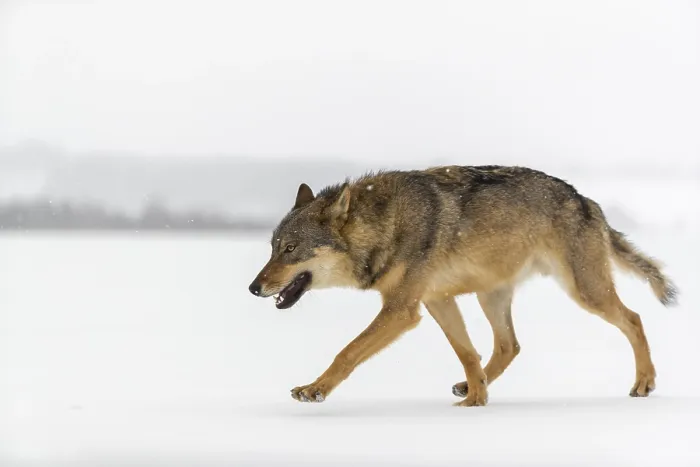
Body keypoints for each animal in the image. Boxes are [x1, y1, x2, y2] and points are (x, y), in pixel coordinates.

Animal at [248, 165, 677, 406]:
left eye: (290, 249)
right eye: (272, 248)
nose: (253, 287)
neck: (386, 226)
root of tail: (587, 200)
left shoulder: (401, 311)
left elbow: (346, 352)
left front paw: (315, 390)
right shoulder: (437, 301)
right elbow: (467, 354)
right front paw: (475, 401)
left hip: (584, 291)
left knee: (634, 319)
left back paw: (644, 383)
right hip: (492, 296)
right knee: (508, 346)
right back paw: (471, 388)